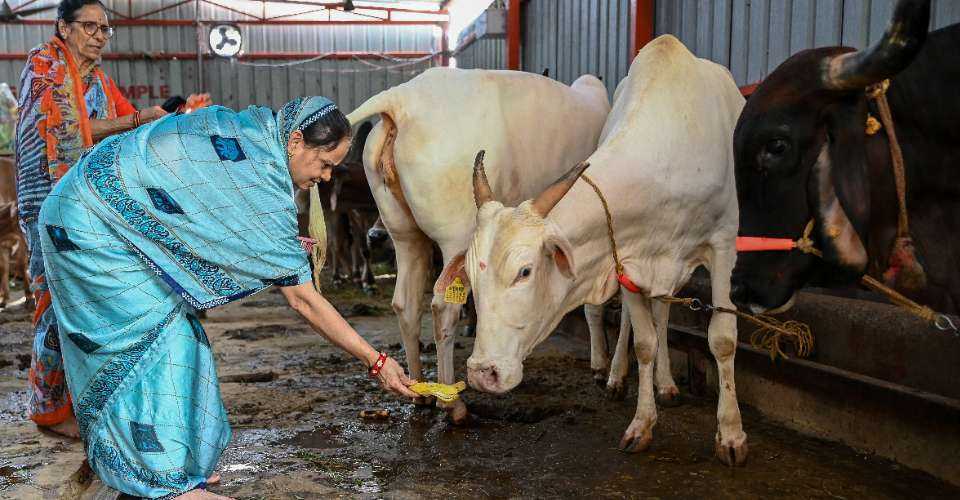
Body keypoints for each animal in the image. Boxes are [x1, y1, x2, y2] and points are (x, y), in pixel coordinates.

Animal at [344, 67, 616, 422]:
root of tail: (401, 100)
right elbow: (594, 301)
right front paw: (600, 365)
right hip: (456, 233)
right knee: (444, 306)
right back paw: (452, 404)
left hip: (402, 231)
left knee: (406, 303)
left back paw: (419, 392)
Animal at [460, 37, 752, 466]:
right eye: (471, 275)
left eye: (525, 271)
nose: (483, 373)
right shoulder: (626, 255)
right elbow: (645, 342)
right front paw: (642, 424)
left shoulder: (723, 243)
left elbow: (723, 338)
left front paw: (731, 434)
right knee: (646, 320)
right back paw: (618, 377)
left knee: (664, 312)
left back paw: (666, 384)